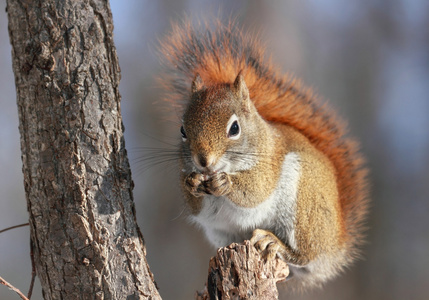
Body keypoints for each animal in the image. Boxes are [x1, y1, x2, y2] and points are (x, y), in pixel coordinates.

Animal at [157, 19, 368, 290]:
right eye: (182, 130)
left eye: (234, 128)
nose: (203, 161)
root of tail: (335, 247)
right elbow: (194, 204)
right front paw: (192, 182)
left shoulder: (269, 162)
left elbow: (257, 190)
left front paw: (226, 183)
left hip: (304, 207)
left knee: (305, 255)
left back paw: (275, 243)